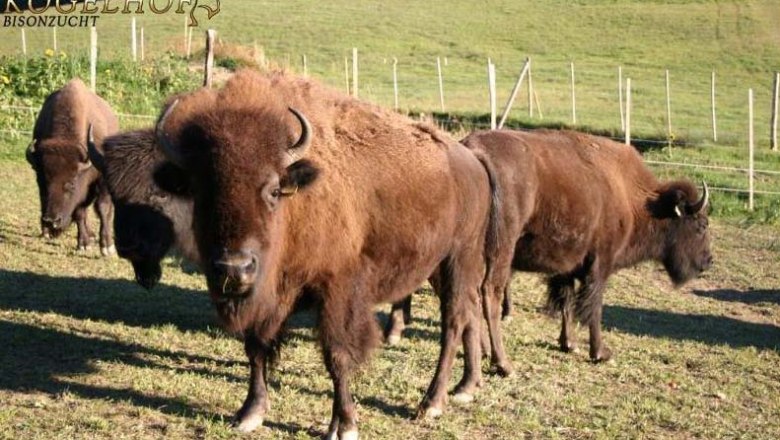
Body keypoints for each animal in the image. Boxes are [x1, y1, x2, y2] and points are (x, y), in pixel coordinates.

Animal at [26, 78, 118, 255]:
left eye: (71, 184)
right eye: (42, 182)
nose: (51, 221)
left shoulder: (102, 179)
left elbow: (103, 208)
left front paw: (107, 247)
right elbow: (80, 212)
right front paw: (83, 244)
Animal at [152, 70, 500, 439]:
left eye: (273, 190)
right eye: (201, 191)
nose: (235, 268)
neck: (297, 201)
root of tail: (471, 160)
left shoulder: (338, 291)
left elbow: (337, 354)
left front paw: (343, 425)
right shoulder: (267, 296)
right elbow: (256, 347)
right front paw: (249, 413)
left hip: (459, 257)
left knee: (454, 320)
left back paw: (431, 403)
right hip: (436, 265)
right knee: (468, 312)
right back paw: (465, 387)